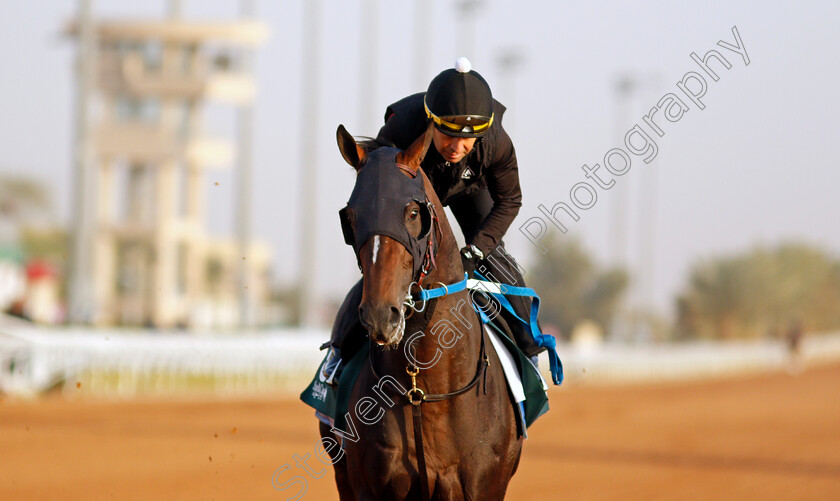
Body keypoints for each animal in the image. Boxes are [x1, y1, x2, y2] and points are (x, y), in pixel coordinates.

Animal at [320, 122, 520, 500]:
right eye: (350, 217)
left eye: (413, 213)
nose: (380, 316)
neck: (424, 392)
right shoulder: (369, 486)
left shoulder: (484, 486)